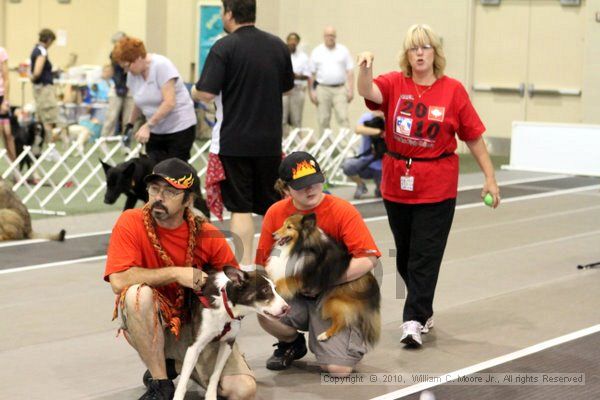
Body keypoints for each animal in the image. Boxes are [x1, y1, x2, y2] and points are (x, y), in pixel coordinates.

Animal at [173, 266, 288, 400]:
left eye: (275, 289)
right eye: (265, 290)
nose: (287, 308)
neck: (227, 305)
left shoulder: (228, 343)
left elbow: (216, 373)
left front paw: (211, 395)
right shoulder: (194, 346)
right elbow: (183, 380)